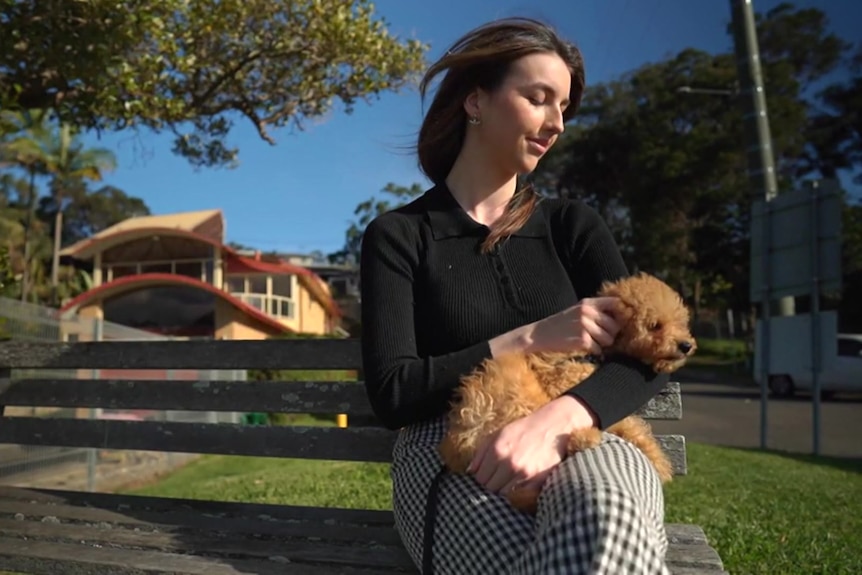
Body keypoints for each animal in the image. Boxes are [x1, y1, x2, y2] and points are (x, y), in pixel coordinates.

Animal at [442, 272, 700, 516]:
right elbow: (630, 424)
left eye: (681, 322)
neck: (591, 351)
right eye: (655, 325)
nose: (686, 345)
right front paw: (659, 460)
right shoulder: (566, 384)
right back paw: (585, 437)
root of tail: (456, 448)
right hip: (518, 400)